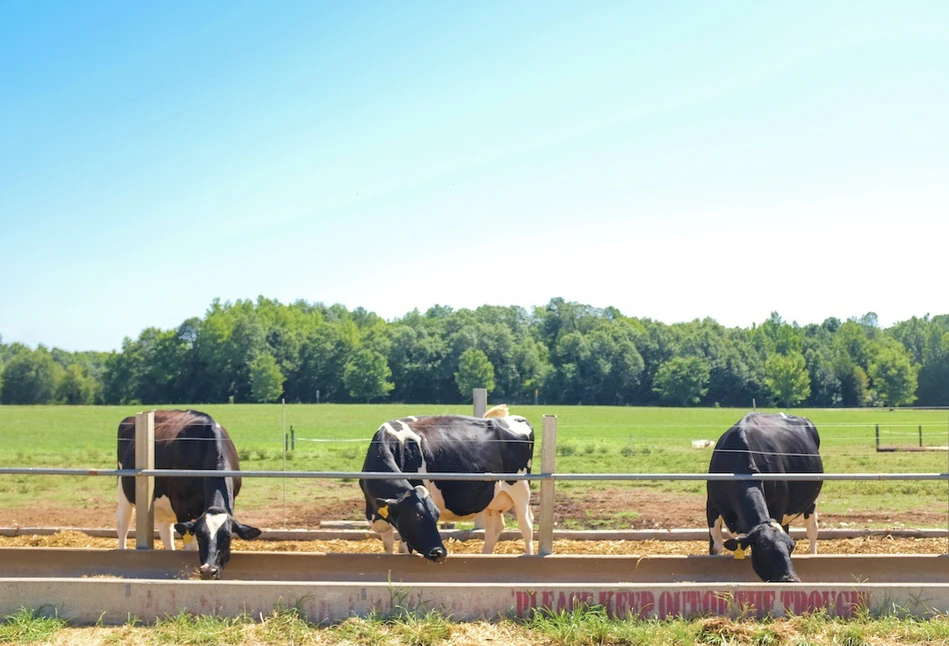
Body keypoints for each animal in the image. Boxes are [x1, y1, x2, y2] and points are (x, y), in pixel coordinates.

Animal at [116, 410, 262, 584]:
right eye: (200, 536)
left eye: (227, 537)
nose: (208, 571)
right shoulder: (181, 506)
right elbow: (189, 547)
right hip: (124, 490)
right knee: (123, 525)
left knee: (165, 531)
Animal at [360, 412, 532, 564]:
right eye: (416, 515)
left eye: (437, 516)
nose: (439, 552)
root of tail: (515, 419)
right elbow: (388, 548)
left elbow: (402, 549)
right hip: (492, 498)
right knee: (494, 528)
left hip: (521, 489)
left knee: (526, 525)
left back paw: (529, 556)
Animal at [704, 416, 824, 588]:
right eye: (764, 545)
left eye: (791, 547)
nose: (791, 579)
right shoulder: (712, 506)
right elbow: (716, 545)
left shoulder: (778, 507)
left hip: (811, 501)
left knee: (812, 530)